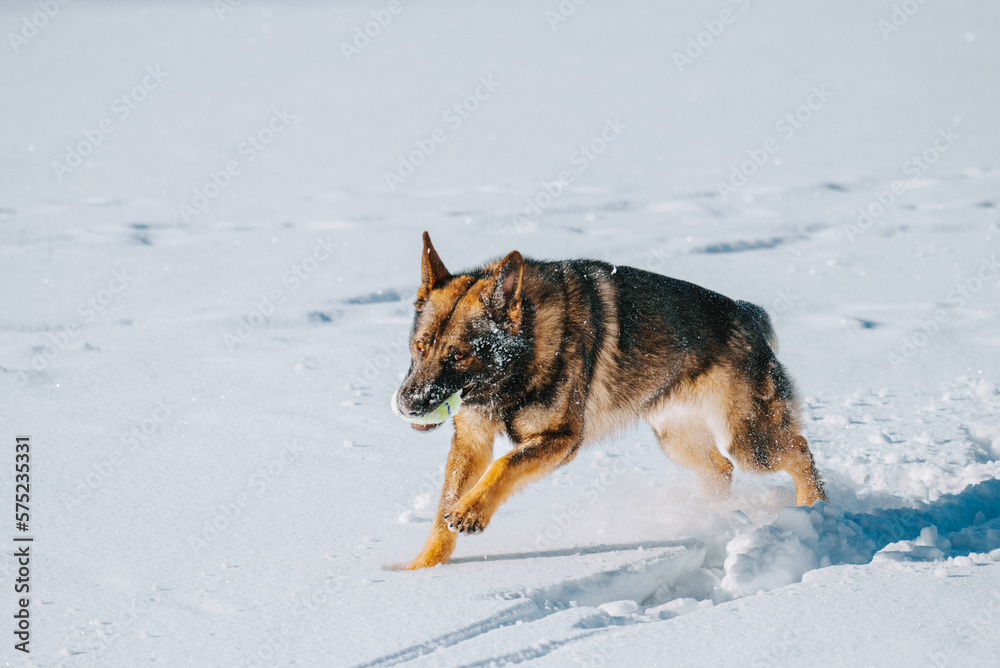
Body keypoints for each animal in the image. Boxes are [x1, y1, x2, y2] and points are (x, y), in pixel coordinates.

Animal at [394, 232, 826, 570]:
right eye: (420, 345)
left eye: (458, 355)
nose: (407, 404)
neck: (525, 351)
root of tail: (748, 315)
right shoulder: (472, 440)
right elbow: (442, 508)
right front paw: (420, 569)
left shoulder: (561, 440)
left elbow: (504, 465)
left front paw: (471, 511)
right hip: (678, 441)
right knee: (721, 469)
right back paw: (711, 516)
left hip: (751, 444)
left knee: (800, 450)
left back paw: (815, 510)